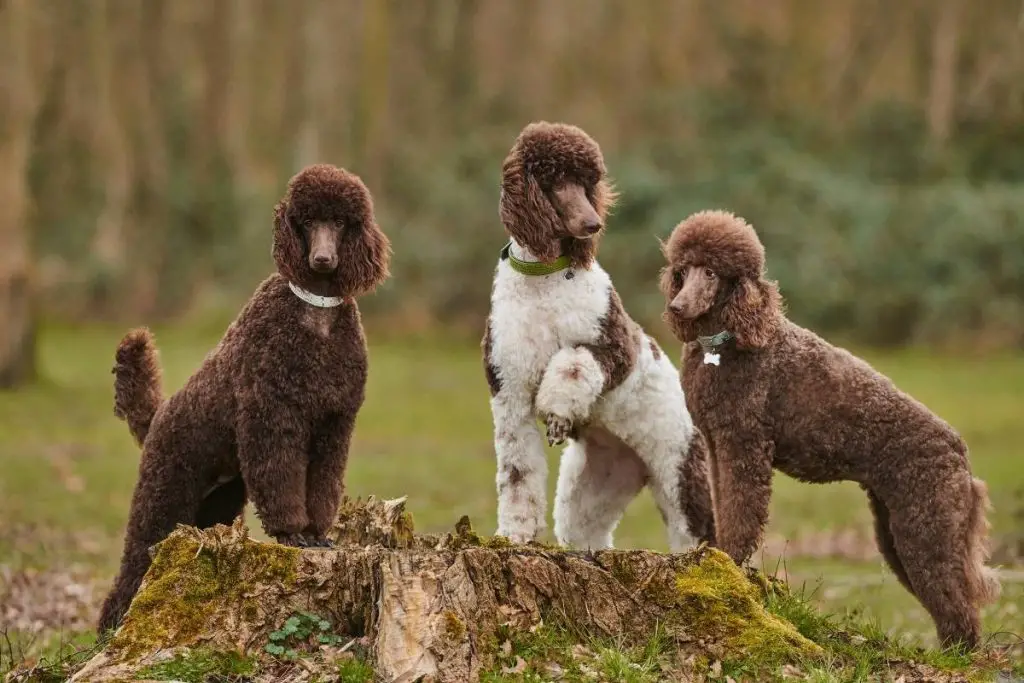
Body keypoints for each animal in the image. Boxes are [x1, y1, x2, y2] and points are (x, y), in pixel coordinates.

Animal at [96, 163, 391, 630]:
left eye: (342, 222)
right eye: (307, 221)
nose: (322, 259)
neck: (316, 315)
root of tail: (157, 415)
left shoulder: (334, 424)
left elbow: (322, 485)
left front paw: (316, 534)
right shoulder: (273, 418)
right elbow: (282, 482)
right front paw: (293, 534)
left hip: (217, 502)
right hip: (163, 494)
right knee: (131, 573)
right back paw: (111, 630)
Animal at [655, 210, 999, 651]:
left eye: (712, 272)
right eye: (683, 270)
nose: (678, 306)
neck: (725, 341)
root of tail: (960, 453)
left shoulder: (743, 447)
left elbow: (742, 515)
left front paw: (728, 561)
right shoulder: (718, 447)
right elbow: (723, 506)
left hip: (927, 525)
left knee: (957, 603)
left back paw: (956, 657)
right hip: (896, 529)